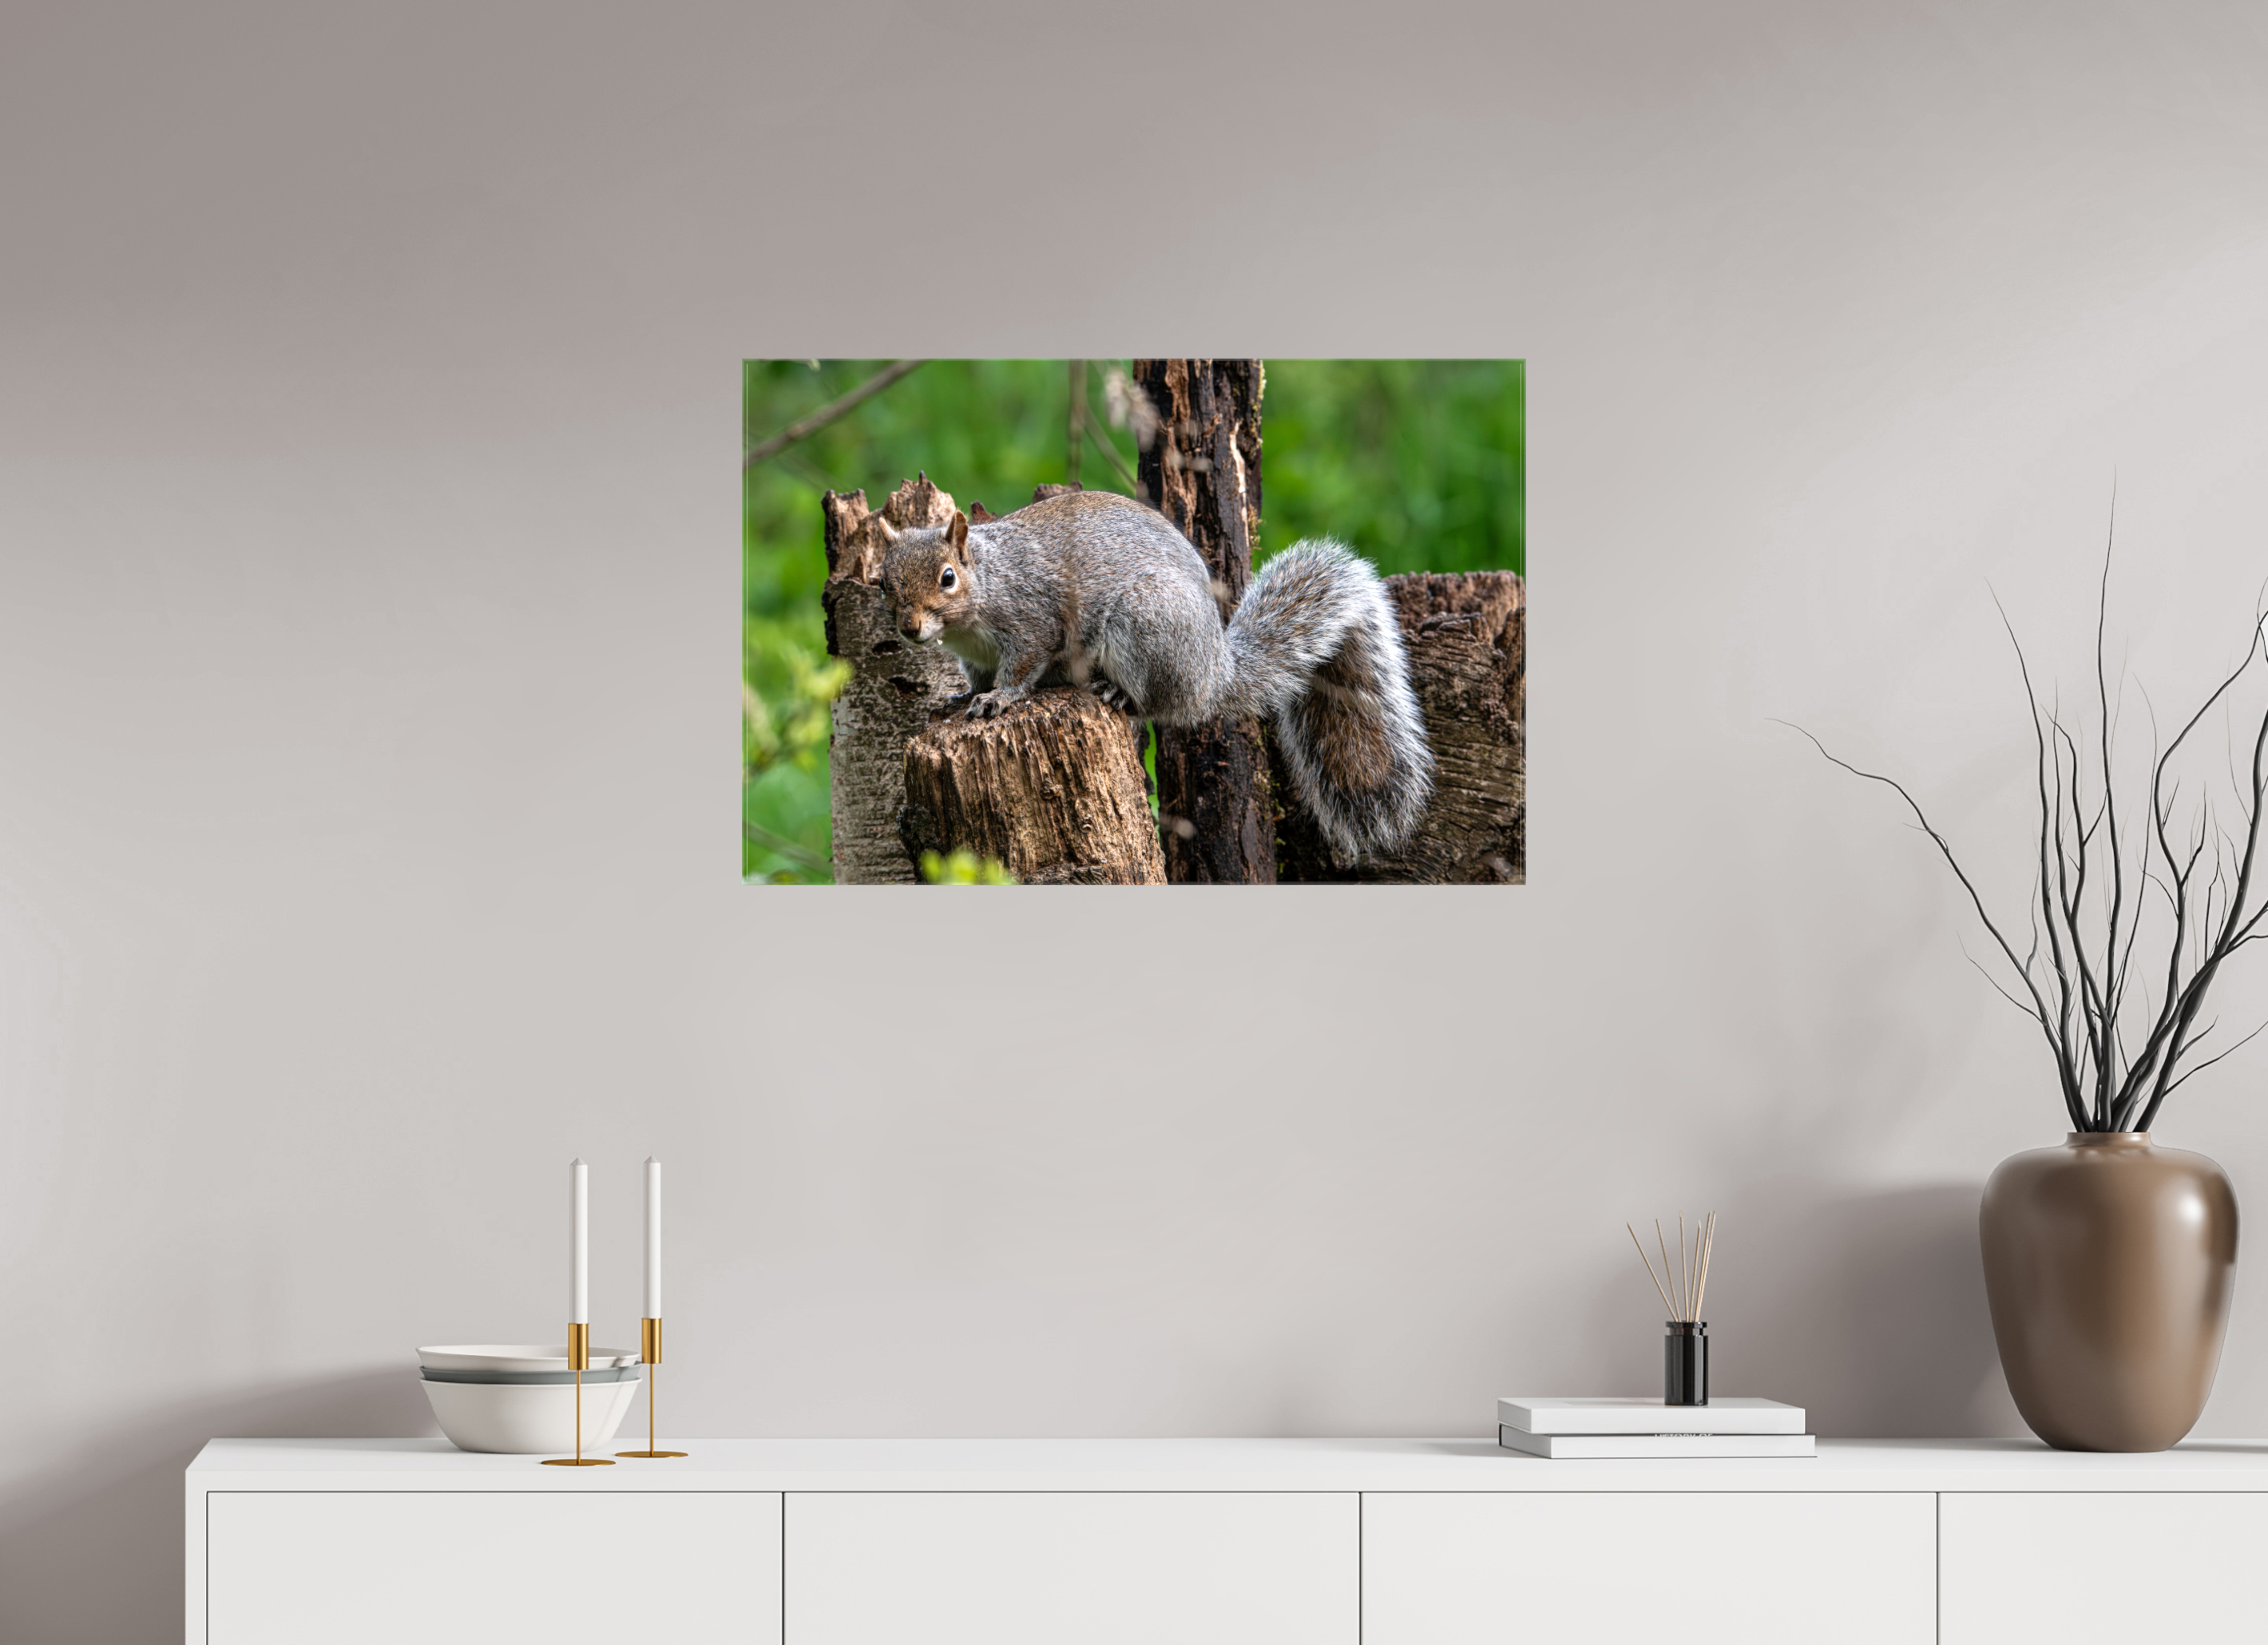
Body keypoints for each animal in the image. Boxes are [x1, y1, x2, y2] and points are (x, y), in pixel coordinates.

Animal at [873, 489, 1433, 858]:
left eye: (948, 577)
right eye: (882, 582)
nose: (910, 628)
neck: (986, 587)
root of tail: (1213, 673)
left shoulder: (1031, 622)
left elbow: (1022, 667)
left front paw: (1000, 699)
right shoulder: (974, 657)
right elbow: (974, 679)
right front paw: (956, 700)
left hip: (1145, 626)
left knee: (1158, 703)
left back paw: (1119, 694)